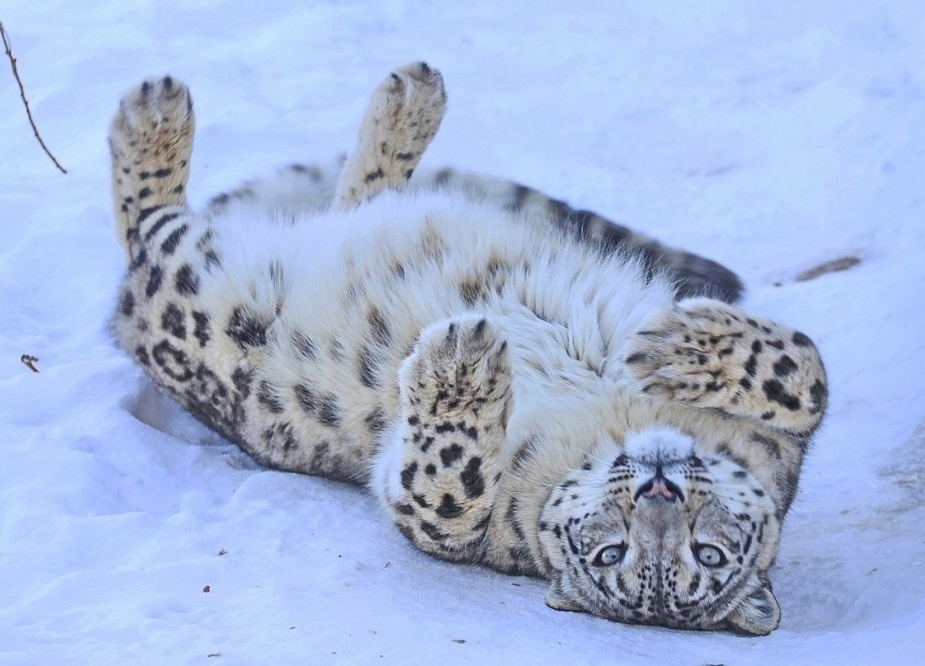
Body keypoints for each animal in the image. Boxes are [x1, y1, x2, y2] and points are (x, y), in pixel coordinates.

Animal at [108, 61, 824, 632]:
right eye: (612, 553)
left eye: (705, 557)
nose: (658, 489)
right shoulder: (786, 440)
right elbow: (809, 376)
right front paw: (671, 343)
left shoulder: (450, 521)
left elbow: (447, 499)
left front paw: (457, 369)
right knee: (351, 199)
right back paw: (402, 102)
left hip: (198, 303)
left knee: (147, 235)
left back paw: (154, 119)